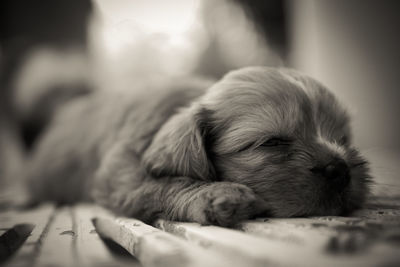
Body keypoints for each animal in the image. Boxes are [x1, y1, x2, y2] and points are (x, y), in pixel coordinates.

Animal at [23, 67, 370, 226]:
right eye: (273, 142)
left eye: (342, 139)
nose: (339, 169)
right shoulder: (119, 174)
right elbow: (157, 184)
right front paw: (215, 194)